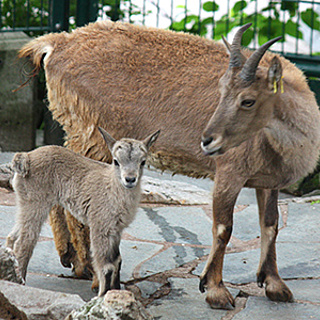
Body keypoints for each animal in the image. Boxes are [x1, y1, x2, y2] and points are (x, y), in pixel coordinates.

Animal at [18, 20, 320, 310]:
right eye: (222, 91)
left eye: (248, 100)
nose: (207, 140)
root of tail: (57, 43)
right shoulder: (230, 172)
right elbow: (224, 228)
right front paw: (215, 290)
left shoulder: (267, 181)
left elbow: (270, 224)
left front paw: (275, 285)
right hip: (92, 135)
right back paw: (91, 270)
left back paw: (73, 261)